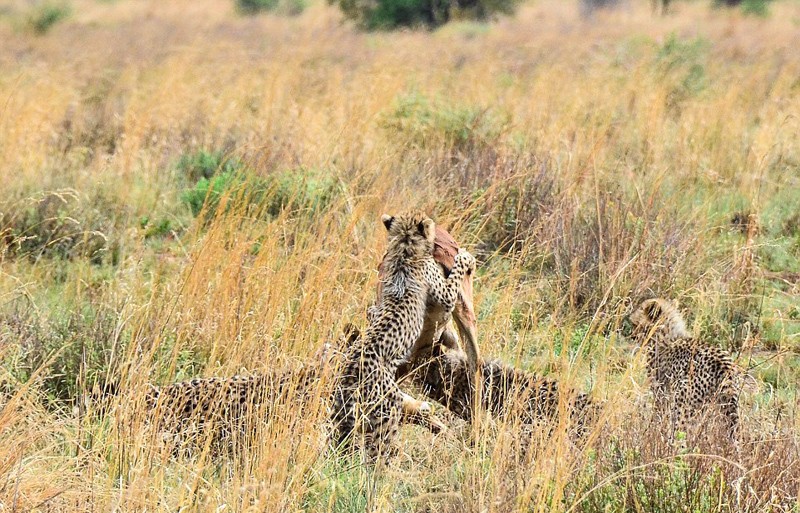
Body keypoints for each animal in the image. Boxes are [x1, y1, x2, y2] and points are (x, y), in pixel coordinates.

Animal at [628, 296, 752, 436]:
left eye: (635, 323)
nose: (632, 334)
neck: (665, 334)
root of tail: (723, 366)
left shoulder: (661, 389)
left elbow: (658, 413)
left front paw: (651, 431)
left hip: (683, 404)